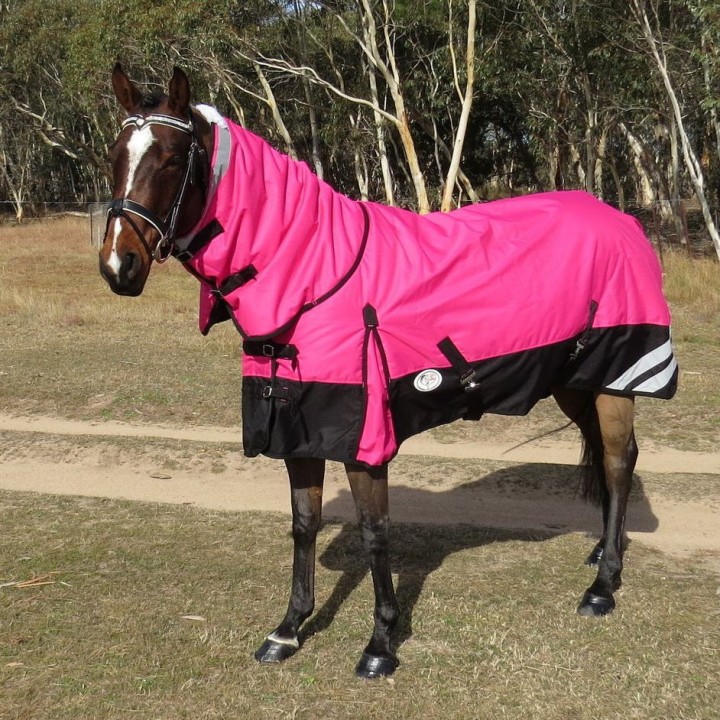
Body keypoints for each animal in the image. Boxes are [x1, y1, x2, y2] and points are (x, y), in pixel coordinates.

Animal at [99, 65, 678, 679]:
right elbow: (303, 525)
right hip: (577, 380)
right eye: (113, 155)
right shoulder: (296, 428)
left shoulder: (363, 436)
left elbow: (375, 534)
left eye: (170, 159)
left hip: (617, 376)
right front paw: (288, 629)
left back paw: (603, 585)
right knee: (606, 457)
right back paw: (601, 551)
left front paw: (380, 644)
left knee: (618, 463)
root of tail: (623, 219)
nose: (118, 266)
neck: (314, 273)